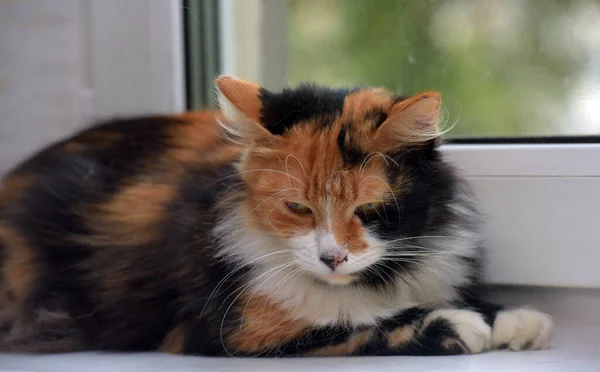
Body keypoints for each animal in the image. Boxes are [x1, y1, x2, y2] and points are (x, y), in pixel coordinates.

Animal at [0, 76, 552, 358]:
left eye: (368, 210)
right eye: (298, 209)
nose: (333, 257)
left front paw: (516, 320)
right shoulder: (238, 332)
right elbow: (353, 325)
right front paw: (461, 325)